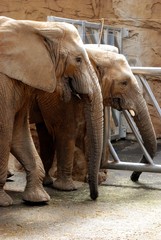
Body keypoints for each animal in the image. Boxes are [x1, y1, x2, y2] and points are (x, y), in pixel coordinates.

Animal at [0, 16, 104, 206]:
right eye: (78, 59)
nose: (93, 196)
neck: (38, 27)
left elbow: (18, 133)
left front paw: (37, 199)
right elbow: (4, 132)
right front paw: (4, 202)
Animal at [29, 45, 157, 190]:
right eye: (124, 83)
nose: (133, 178)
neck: (94, 56)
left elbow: (87, 134)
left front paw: (97, 179)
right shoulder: (59, 95)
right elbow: (67, 131)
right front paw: (67, 188)